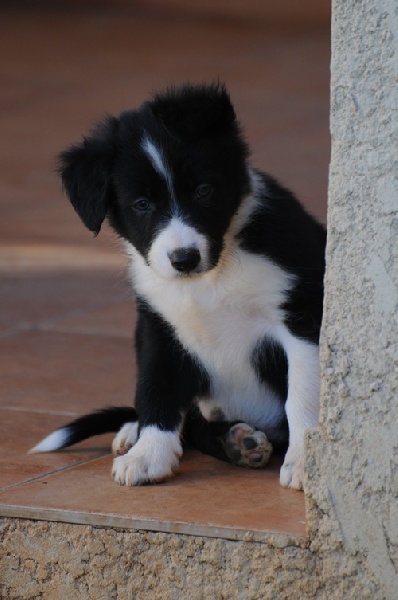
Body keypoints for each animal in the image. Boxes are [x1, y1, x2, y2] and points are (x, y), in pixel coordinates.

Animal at [31, 82, 326, 490]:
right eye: (141, 204)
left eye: (203, 191)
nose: (184, 258)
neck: (211, 277)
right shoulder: (159, 325)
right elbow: (156, 387)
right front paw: (149, 454)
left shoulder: (302, 315)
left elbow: (303, 394)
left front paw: (303, 461)